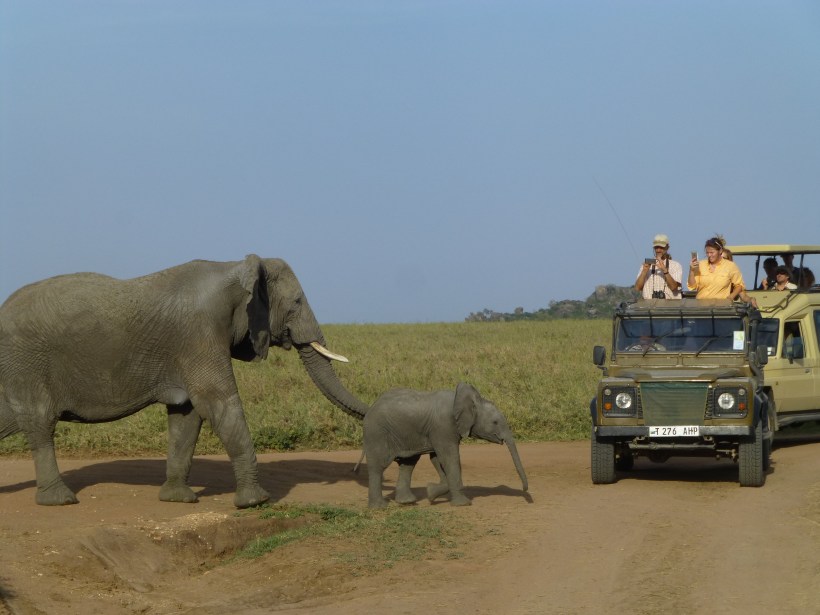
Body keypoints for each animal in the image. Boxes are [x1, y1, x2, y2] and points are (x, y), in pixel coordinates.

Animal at [0, 255, 369, 507]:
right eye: (296, 303)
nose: (356, 469)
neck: (235, 267)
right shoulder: (199, 334)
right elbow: (219, 403)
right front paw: (256, 502)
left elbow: (187, 416)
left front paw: (178, 499)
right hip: (26, 363)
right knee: (40, 425)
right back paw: (60, 500)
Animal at [362, 382, 528, 508]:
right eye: (495, 422)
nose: (525, 490)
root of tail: (370, 408)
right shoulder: (443, 427)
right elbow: (450, 458)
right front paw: (463, 504)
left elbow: (438, 459)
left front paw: (431, 493)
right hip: (377, 432)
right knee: (379, 465)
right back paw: (380, 507)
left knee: (408, 464)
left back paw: (407, 502)